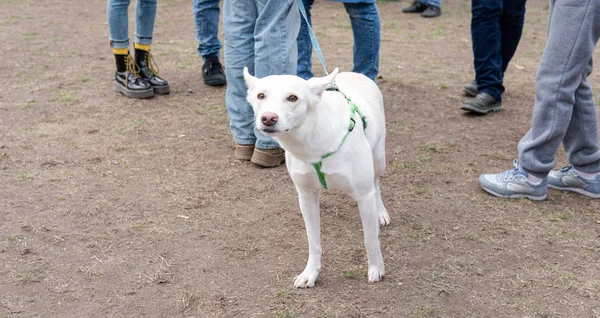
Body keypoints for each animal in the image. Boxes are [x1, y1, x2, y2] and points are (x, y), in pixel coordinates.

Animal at [243, 67, 390, 288]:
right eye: (261, 96)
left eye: (292, 97)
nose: (268, 118)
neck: (310, 143)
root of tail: (354, 73)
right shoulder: (306, 196)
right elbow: (313, 242)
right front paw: (310, 273)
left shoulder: (364, 195)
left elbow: (370, 238)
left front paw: (376, 269)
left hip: (378, 159)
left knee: (376, 182)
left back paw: (380, 212)